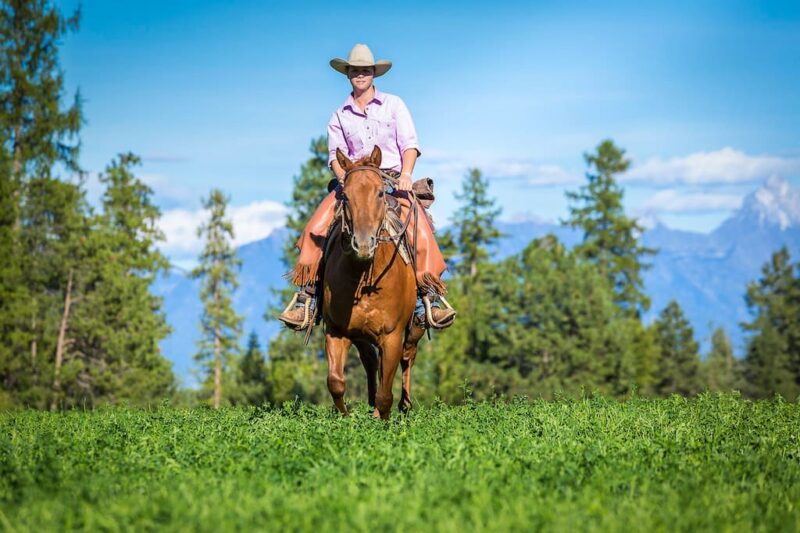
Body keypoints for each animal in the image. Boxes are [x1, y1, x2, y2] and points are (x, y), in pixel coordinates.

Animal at [324, 147, 428, 420]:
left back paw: (405, 404)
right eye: (345, 196)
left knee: (408, 355)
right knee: (371, 360)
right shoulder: (337, 331)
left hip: (414, 327)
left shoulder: (391, 336)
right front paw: (347, 418)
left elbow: (385, 394)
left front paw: (381, 419)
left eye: (380, 192)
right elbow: (336, 382)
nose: (363, 244)